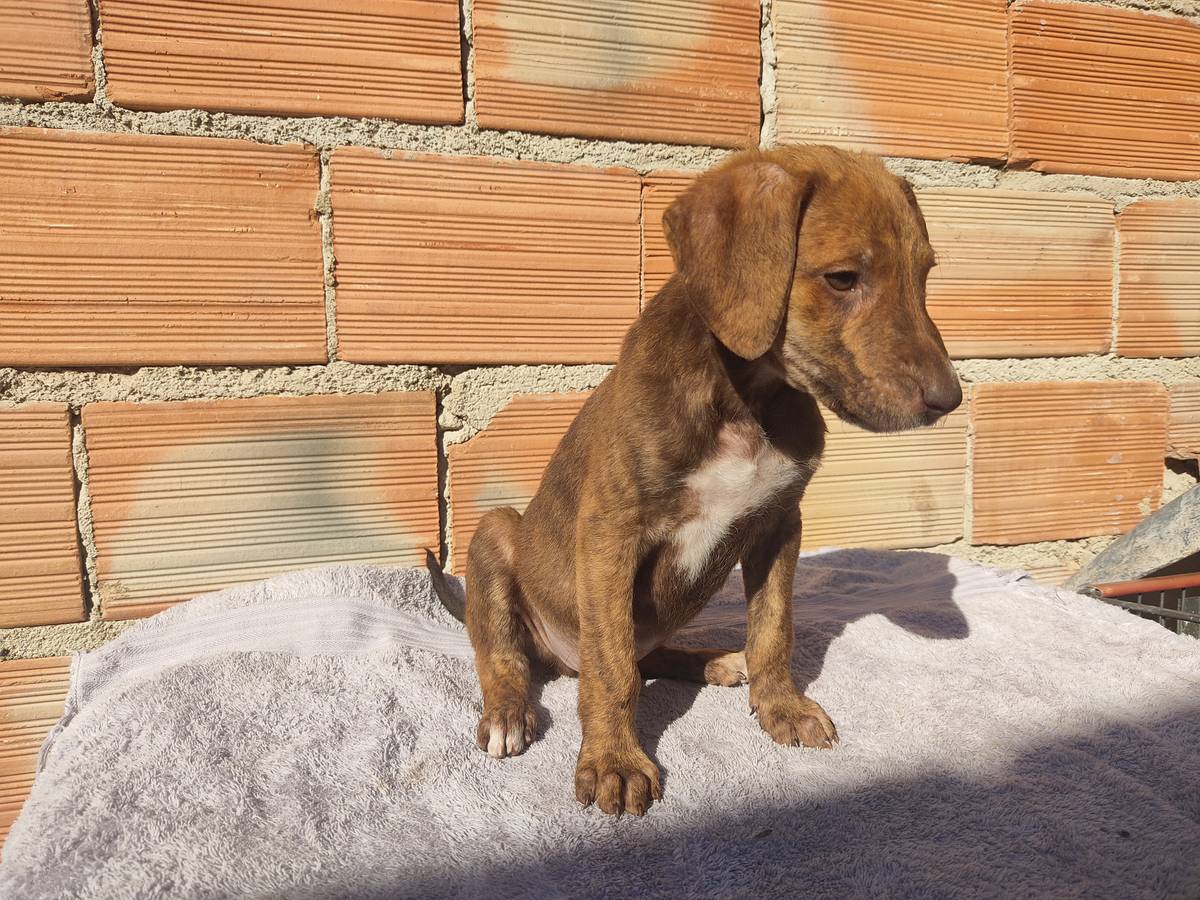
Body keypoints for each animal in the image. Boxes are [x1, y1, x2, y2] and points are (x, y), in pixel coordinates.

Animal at [427, 145, 962, 817]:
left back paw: (715, 662)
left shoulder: (780, 523)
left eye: (926, 276)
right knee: (510, 655)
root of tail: (557, 658)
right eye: (843, 278)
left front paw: (781, 706)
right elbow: (612, 668)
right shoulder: (610, 532)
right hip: (500, 536)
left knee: (649, 653)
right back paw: (507, 712)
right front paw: (614, 759)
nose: (951, 400)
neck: (744, 397)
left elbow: (773, 629)